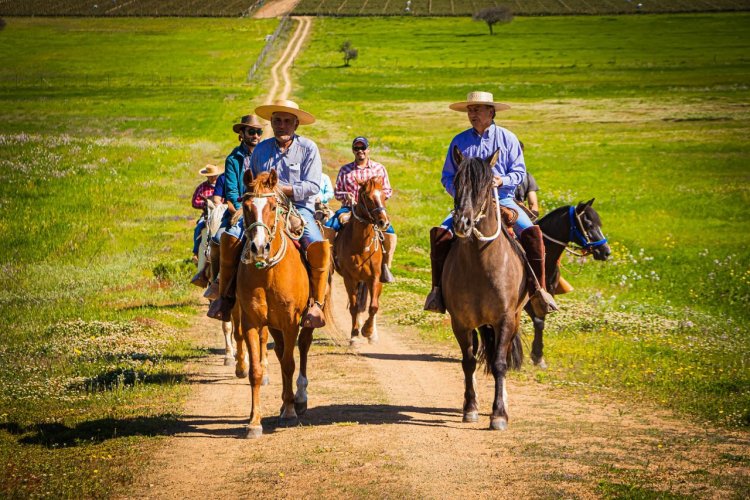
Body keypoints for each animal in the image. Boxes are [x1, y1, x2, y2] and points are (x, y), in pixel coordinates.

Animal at [235, 169, 326, 438]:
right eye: (246, 206)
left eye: (273, 206)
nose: (259, 247)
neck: (267, 273)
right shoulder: (252, 322)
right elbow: (256, 370)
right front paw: (254, 422)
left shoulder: (290, 322)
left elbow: (289, 363)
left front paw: (290, 410)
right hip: (273, 325)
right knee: (279, 350)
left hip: (306, 319)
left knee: (303, 348)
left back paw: (300, 398)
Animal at [336, 178, 394, 346]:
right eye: (368, 197)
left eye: (383, 195)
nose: (383, 222)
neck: (361, 246)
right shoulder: (349, 279)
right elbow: (354, 307)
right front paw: (355, 335)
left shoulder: (374, 278)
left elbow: (373, 306)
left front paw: (368, 332)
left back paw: (372, 333)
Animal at [446, 146, 528, 432]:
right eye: (456, 181)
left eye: (485, 186)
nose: (463, 224)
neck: (480, 265)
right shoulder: (461, 322)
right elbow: (468, 361)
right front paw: (470, 408)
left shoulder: (504, 319)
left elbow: (500, 363)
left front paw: (499, 414)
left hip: (514, 318)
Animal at [524, 201, 612, 370]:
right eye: (588, 224)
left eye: (599, 223)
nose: (606, 252)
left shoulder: (546, 296)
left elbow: (540, 322)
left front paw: (538, 357)